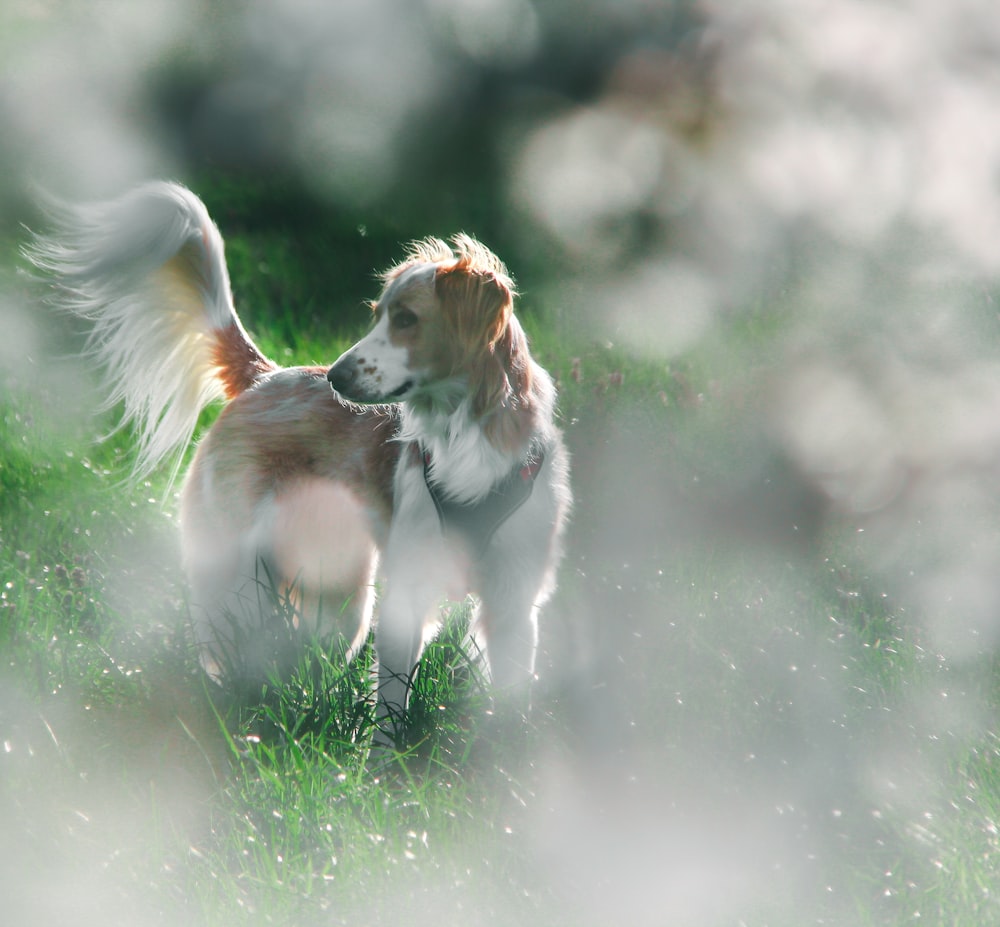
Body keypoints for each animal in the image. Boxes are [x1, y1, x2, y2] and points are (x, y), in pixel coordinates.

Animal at [29, 185, 572, 744]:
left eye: (406, 319)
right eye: (377, 314)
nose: (334, 374)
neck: (465, 439)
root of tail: (266, 376)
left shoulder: (513, 602)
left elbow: (508, 703)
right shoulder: (408, 590)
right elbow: (391, 706)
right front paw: (384, 762)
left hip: (336, 597)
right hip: (243, 583)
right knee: (229, 660)